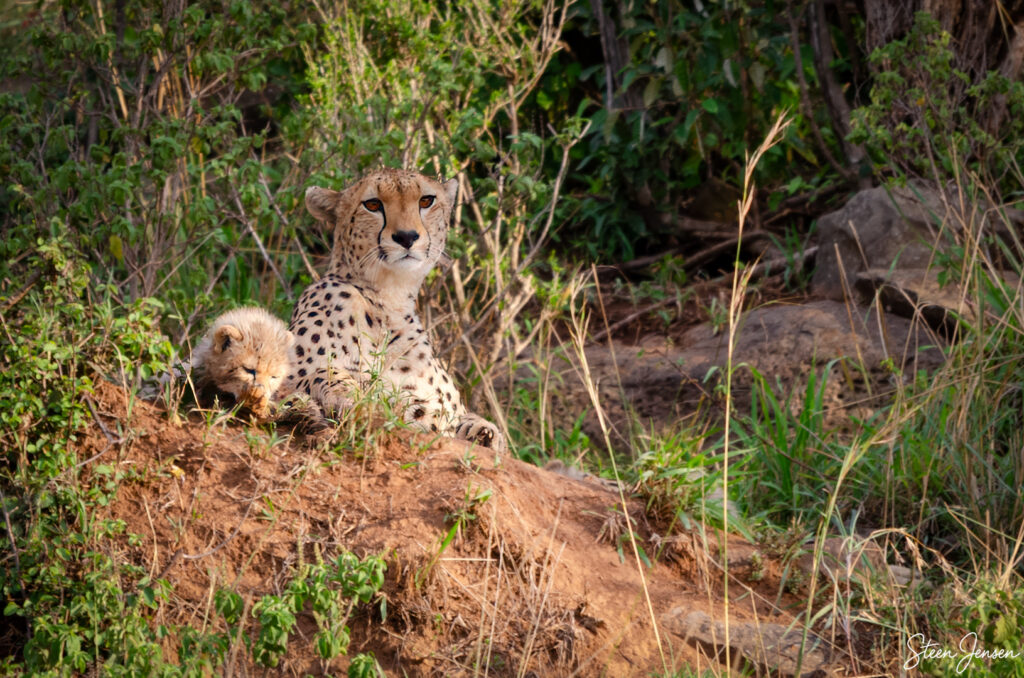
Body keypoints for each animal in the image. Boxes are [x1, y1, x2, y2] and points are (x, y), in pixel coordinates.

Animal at [278, 168, 506, 452]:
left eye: (426, 201)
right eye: (372, 204)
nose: (407, 236)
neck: (389, 298)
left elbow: (454, 416)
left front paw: (483, 433)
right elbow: (322, 375)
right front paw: (351, 397)